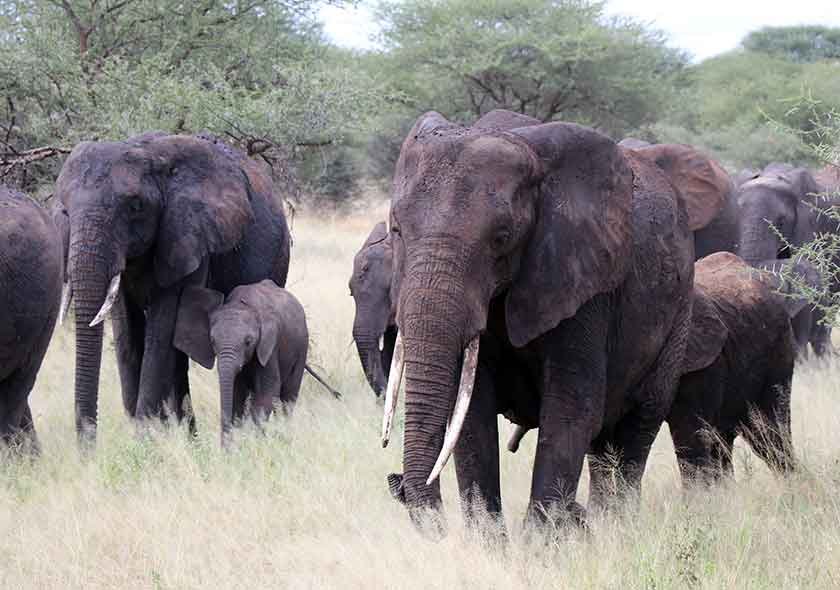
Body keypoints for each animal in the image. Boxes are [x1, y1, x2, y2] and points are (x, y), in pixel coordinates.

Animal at [53, 131, 288, 444]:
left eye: (135, 206)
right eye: (65, 211)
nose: (88, 448)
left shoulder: (189, 235)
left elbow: (161, 331)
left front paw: (144, 440)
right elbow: (127, 335)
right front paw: (147, 436)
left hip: (277, 258)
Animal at [174, 280, 308, 444]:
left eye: (248, 342)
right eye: (212, 341)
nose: (225, 448)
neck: (242, 304)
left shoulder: (269, 346)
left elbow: (268, 388)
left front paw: (256, 440)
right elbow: (237, 393)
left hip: (302, 347)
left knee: (288, 397)